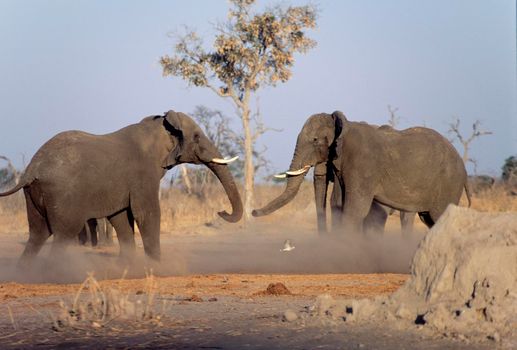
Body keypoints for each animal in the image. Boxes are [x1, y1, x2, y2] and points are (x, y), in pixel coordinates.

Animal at [0, 110, 243, 266]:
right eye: (197, 136)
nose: (221, 211)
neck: (159, 127)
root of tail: (32, 168)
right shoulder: (143, 173)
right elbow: (147, 213)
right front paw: (157, 266)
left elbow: (120, 217)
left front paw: (127, 266)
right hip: (60, 193)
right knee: (63, 233)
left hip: (34, 194)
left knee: (38, 233)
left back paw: (25, 273)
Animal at [252, 110, 470, 234]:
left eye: (315, 140)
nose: (253, 212)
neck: (343, 125)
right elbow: (337, 205)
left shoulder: (363, 165)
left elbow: (354, 209)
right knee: (429, 220)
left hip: (449, 182)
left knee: (439, 216)